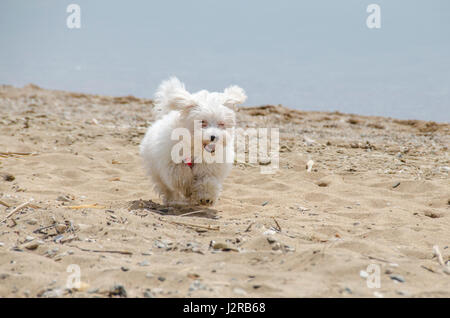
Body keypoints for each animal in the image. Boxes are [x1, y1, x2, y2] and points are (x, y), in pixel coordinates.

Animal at [140, 77, 246, 206]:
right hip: (156, 171)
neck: (195, 146)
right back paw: (173, 200)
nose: (214, 136)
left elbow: (207, 180)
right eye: (203, 122)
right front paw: (188, 188)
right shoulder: (172, 162)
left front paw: (206, 197)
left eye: (221, 124)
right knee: (166, 188)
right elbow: (180, 175)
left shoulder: (210, 167)